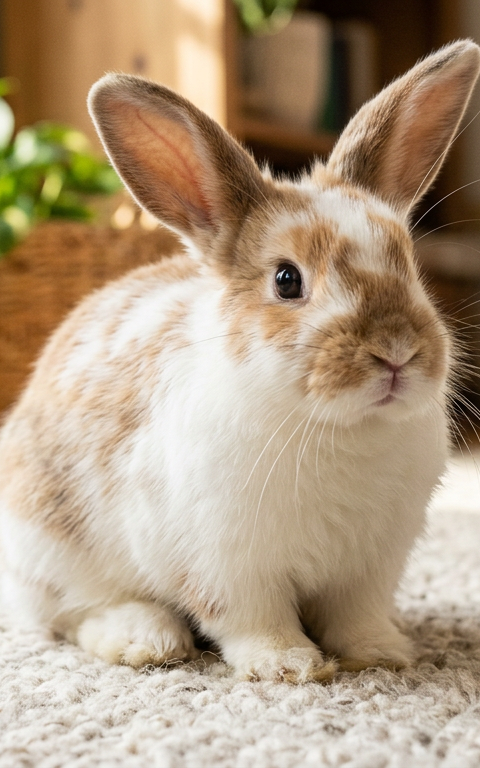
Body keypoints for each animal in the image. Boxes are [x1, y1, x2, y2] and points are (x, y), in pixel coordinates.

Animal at [0, 40, 479, 684]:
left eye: (407, 262)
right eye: (286, 280)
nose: (397, 352)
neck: (340, 428)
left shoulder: (370, 569)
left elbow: (357, 616)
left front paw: (382, 654)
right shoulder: (227, 566)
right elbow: (252, 619)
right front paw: (287, 665)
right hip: (51, 550)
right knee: (72, 614)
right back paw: (145, 640)